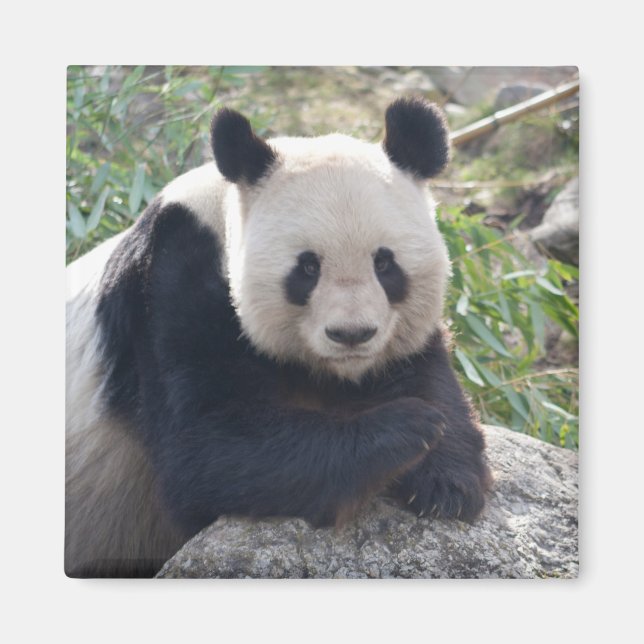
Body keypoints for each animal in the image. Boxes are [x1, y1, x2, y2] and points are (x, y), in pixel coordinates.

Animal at [65, 97, 492, 578]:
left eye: (385, 264)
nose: (352, 334)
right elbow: (209, 448)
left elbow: (421, 368)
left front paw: (447, 481)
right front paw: (409, 426)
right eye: (307, 267)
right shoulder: (166, 286)